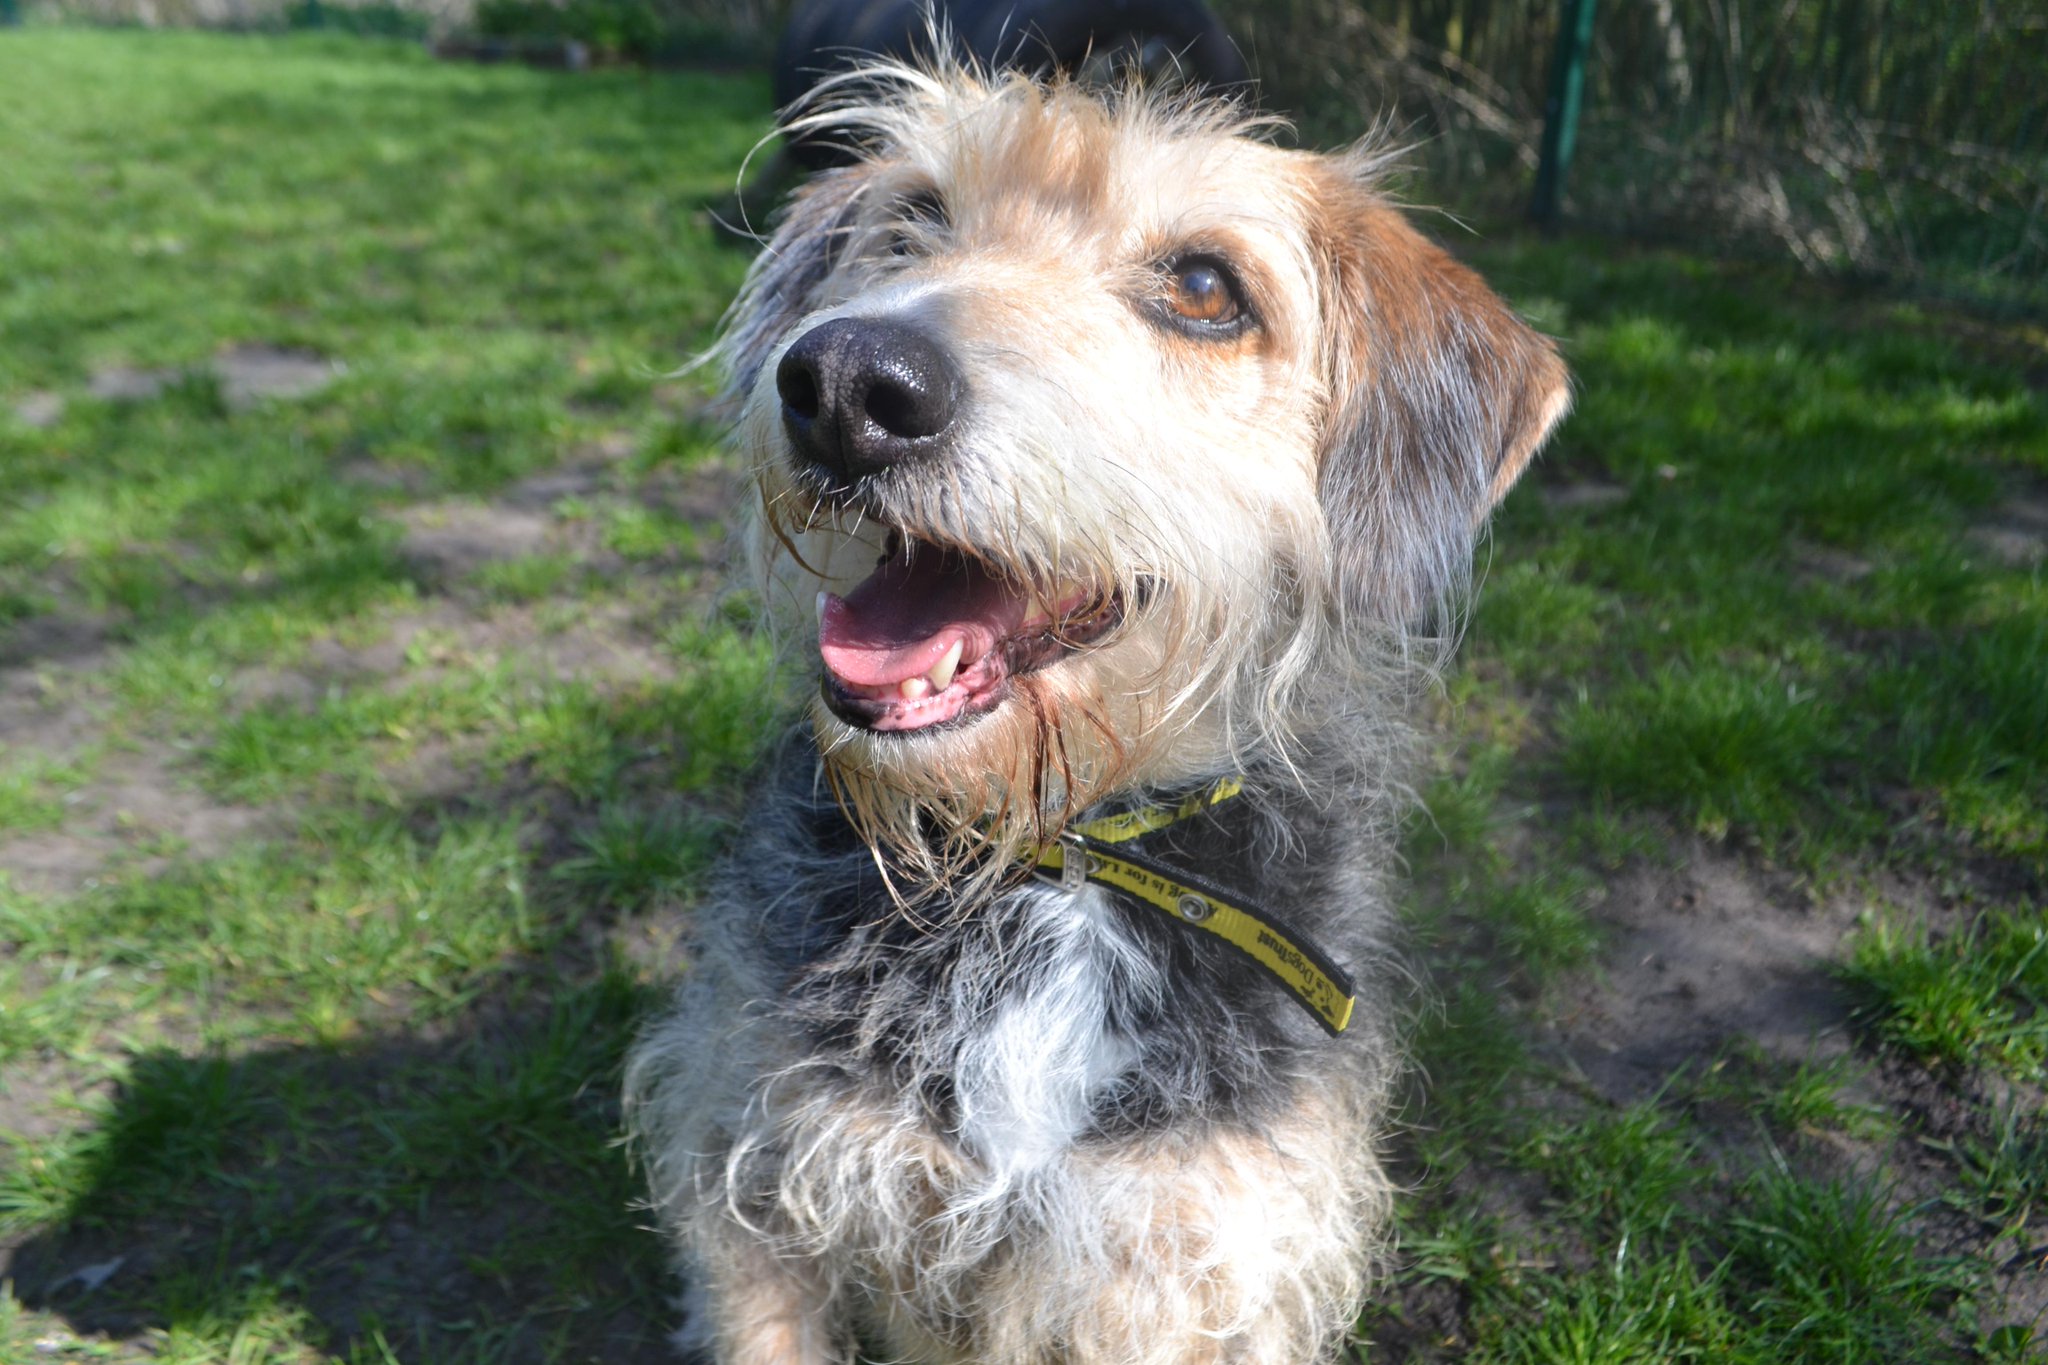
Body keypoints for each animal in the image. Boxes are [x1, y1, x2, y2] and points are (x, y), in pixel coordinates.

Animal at [622, 58, 1564, 1358]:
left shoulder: (1180, 1258)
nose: (848, 382)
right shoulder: (758, 1179)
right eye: (914, 218)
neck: (1051, 863)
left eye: (1204, 287)